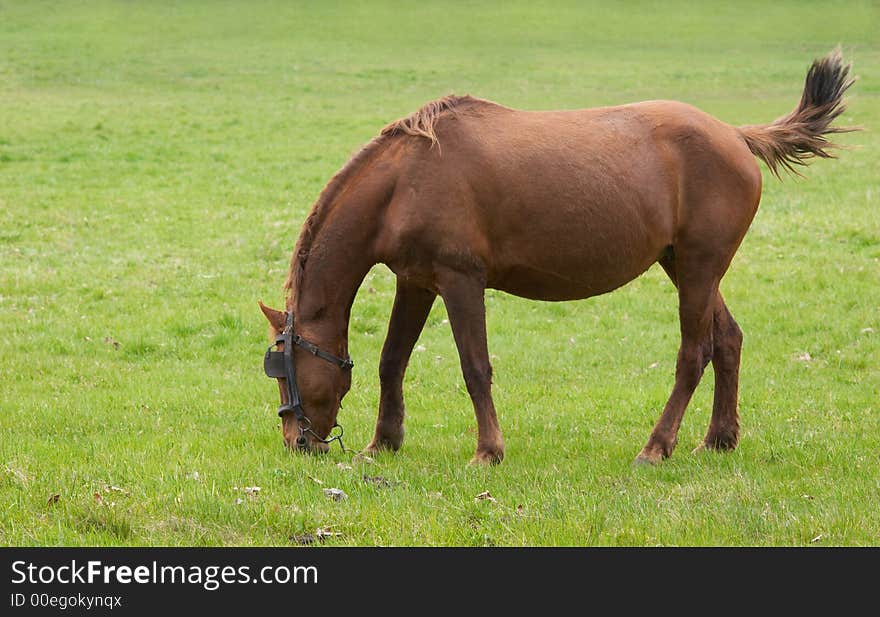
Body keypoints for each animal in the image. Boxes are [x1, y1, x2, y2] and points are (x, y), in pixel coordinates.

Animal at [258, 49, 856, 462]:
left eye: (284, 368)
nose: (296, 442)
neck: (404, 181)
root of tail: (734, 134)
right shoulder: (417, 281)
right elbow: (392, 361)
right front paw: (383, 443)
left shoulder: (459, 281)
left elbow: (475, 367)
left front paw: (488, 450)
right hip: (686, 266)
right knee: (728, 340)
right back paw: (718, 439)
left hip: (699, 269)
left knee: (695, 352)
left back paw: (656, 446)